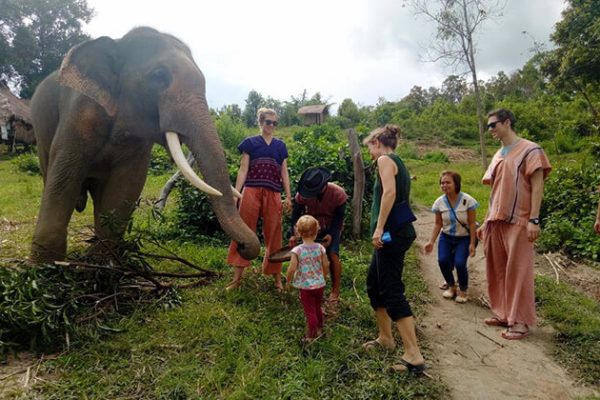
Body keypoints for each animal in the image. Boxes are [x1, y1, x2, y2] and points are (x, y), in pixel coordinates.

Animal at [29, 25, 260, 262]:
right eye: (159, 75)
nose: (243, 247)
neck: (118, 43)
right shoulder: (78, 116)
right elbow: (64, 177)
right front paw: (45, 267)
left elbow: (125, 186)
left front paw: (101, 262)